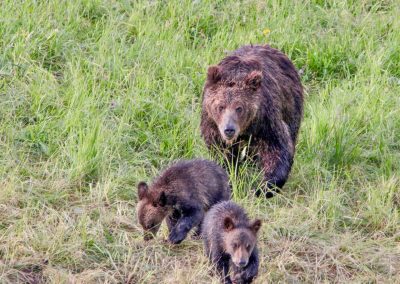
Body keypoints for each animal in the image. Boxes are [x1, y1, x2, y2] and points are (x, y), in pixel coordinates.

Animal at [200, 43, 304, 197]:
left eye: (239, 108)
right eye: (220, 106)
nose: (229, 129)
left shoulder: (266, 122)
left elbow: (278, 150)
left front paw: (263, 188)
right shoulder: (213, 125)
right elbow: (222, 155)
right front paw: (232, 180)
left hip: (291, 108)